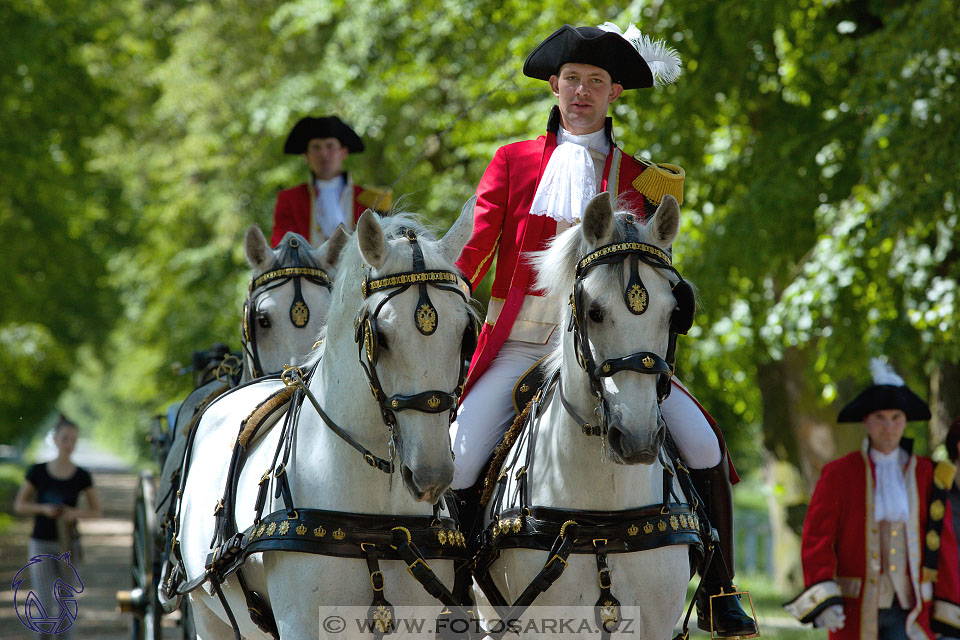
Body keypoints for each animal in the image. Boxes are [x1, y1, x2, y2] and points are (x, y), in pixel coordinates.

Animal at [172, 205, 476, 640]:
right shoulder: (300, 624)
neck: (374, 525)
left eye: (465, 333)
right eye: (380, 336)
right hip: (207, 615)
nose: (431, 474)